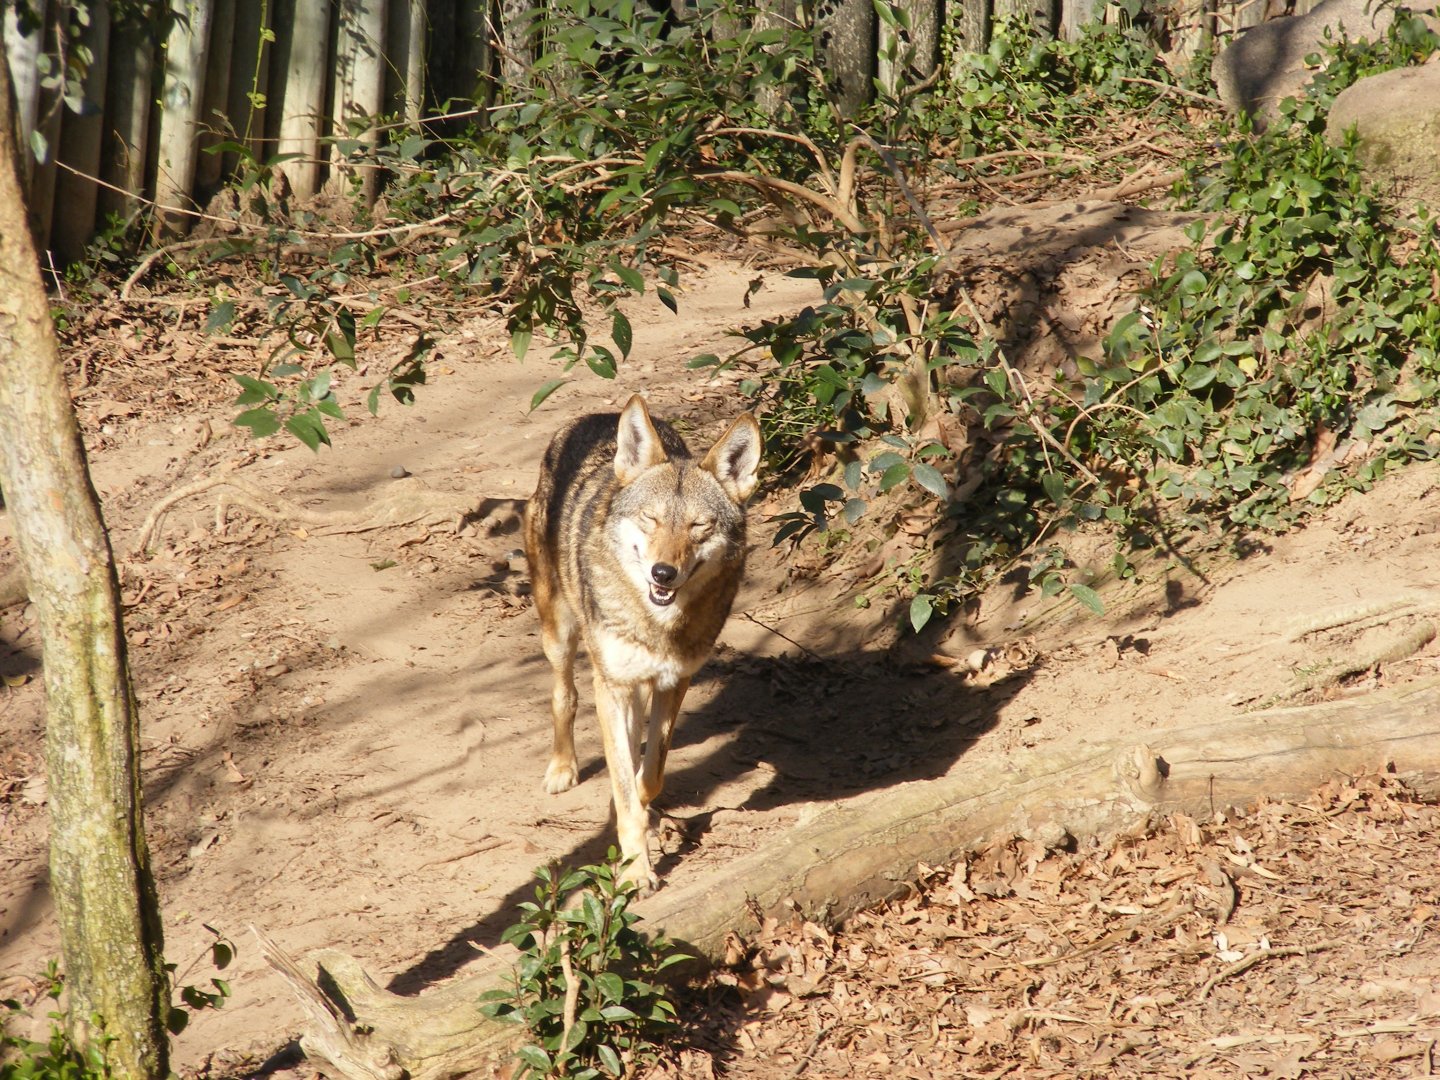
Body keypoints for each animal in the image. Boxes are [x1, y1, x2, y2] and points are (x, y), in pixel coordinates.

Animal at [523, 394, 762, 890]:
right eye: (650, 520)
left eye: (699, 527)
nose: (663, 573)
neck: (656, 623)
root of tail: (598, 416)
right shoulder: (612, 685)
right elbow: (623, 778)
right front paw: (636, 871)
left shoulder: (674, 681)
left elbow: (649, 774)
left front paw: (638, 804)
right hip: (560, 633)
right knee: (564, 694)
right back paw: (562, 768)